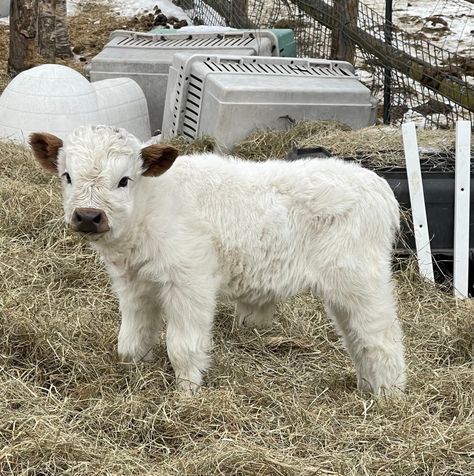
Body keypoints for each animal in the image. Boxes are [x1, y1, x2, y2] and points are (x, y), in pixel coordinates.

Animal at [30, 123, 408, 394]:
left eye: (124, 180)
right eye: (67, 176)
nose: (88, 216)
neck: (152, 206)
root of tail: (375, 183)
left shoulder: (190, 280)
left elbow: (182, 345)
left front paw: (186, 395)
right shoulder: (132, 283)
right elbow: (132, 337)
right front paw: (133, 372)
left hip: (360, 279)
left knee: (381, 336)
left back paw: (389, 396)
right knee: (356, 338)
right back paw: (366, 389)